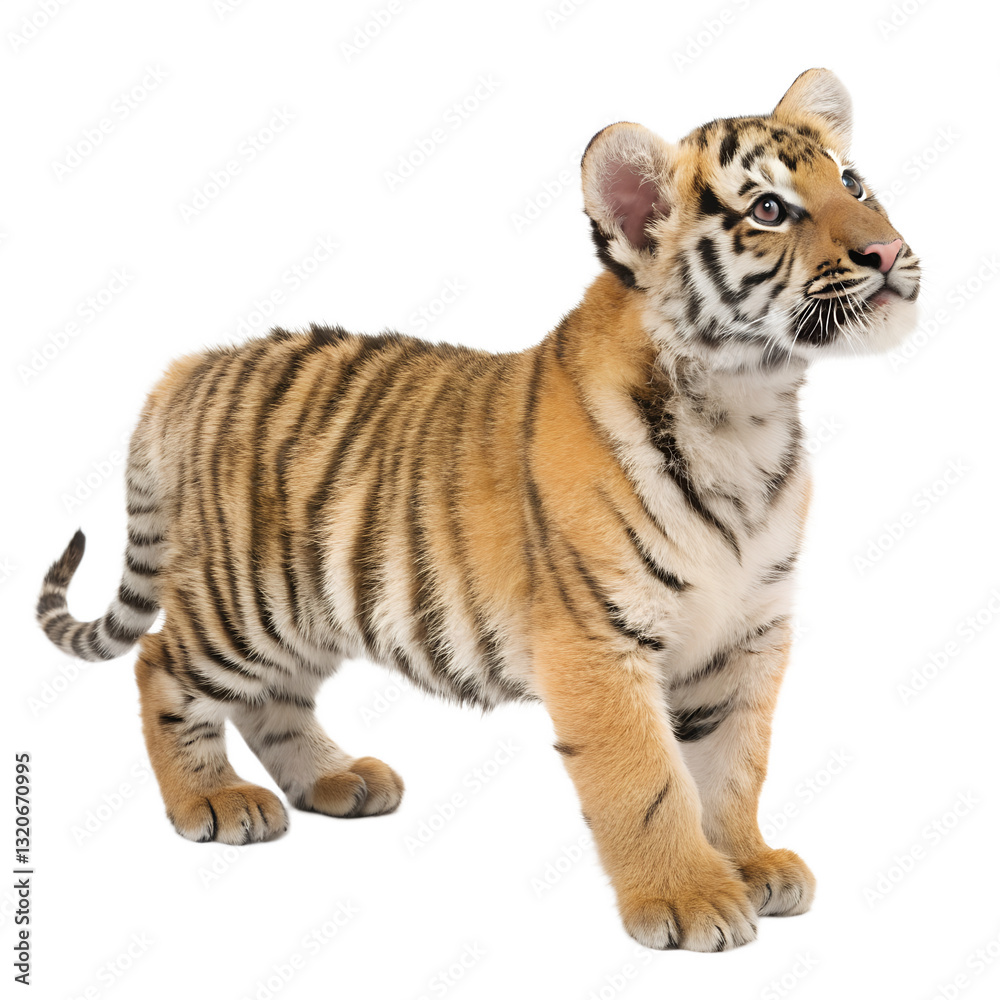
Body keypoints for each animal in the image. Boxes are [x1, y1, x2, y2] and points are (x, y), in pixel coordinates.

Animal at [37, 68, 919, 951]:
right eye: (768, 209)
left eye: (852, 183)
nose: (887, 251)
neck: (745, 412)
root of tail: (186, 369)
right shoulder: (596, 637)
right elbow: (648, 778)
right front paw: (688, 899)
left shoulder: (748, 632)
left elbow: (734, 764)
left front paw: (748, 862)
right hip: (247, 600)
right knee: (160, 663)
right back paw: (211, 800)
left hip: (312, 604)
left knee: (271, 699)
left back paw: (335, 779)